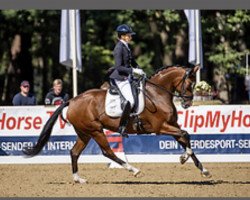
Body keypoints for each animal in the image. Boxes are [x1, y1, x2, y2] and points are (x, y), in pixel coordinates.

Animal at [23, 65, 211, 183]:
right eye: (190, 83)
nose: (187, 104)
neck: (157, 94)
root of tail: (72, 100)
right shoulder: (161, 127)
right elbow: (186, 135)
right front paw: (183, 158)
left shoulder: (172, 126)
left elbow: (184, 139)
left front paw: (203, 170)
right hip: (95, 130)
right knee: (107, 152)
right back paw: (134, 170)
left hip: (84, 133)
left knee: (74, 152)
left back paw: (79, 179)